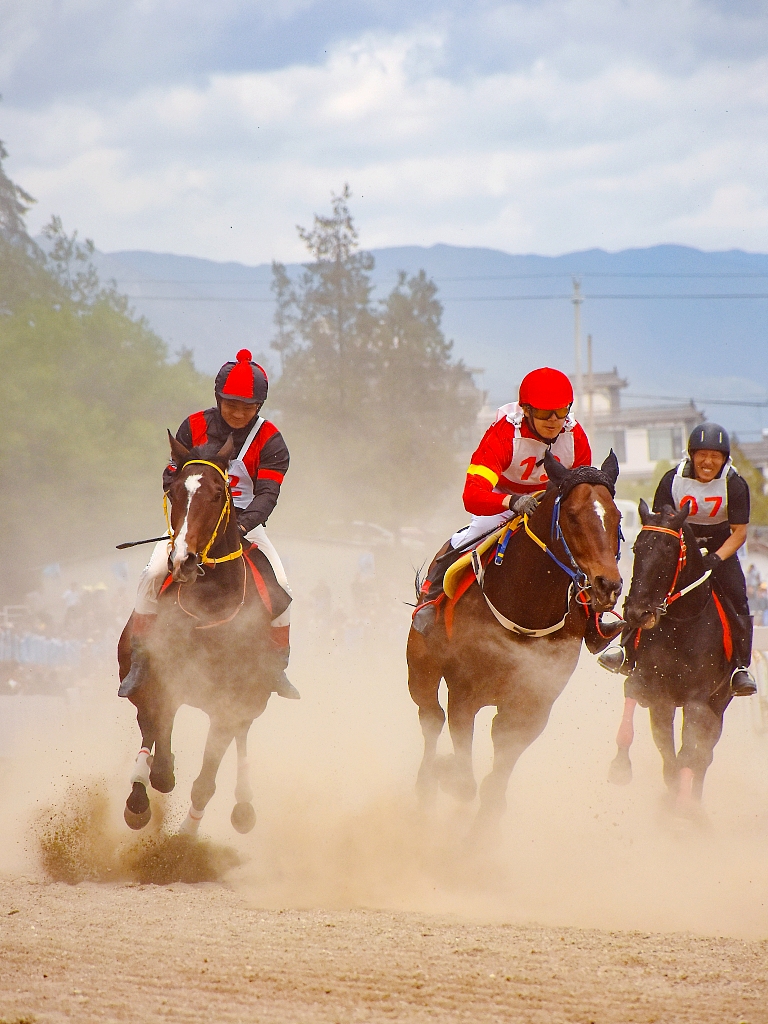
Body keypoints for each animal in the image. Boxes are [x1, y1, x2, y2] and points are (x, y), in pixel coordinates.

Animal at [118, 436, 290, 835]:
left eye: (216, 494)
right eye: (174, 491)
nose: (183, 560)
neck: (210, 605)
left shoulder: (230, 705)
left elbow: (205, 782)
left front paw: (186, 838)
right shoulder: (162, 683)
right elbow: (162, 763)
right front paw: (147, 789)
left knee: (240, 737)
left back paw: (243, 803)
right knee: (146, 726)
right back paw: (137, 794)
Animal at [405, 454, 622, 831]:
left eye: (618, 517)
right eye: (572, 515)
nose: (607, 585)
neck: (525, 606)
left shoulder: (533, 706)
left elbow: (494, 786)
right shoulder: (464, 694)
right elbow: (464, 779)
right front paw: (448, 777)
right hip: (421, 668)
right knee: (431, 717)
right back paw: (427, 785)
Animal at [610, 499, 737, 811]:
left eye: (669, 552)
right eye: (637, 548)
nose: (638, 613)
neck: (683, 624)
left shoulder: (698, 702)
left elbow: (691, 753)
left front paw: (683, 806)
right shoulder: (656, 692)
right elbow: (666, 753)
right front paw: (621, 767)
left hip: (720, 703)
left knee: (703, 754)